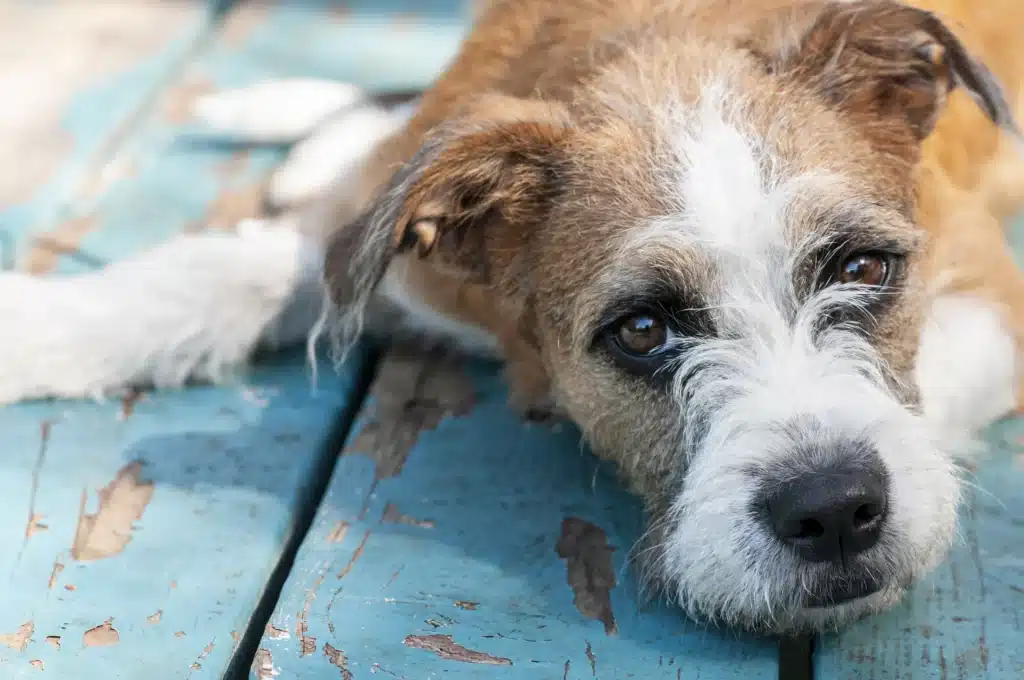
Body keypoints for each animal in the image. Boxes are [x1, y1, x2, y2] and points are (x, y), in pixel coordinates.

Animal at [2, 2, 1024, 634]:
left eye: (861, 268)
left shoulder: (989, 293)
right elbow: (211, 273)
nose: (835, 511)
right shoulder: (386, 244)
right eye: (642, 330)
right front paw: (42, 328)